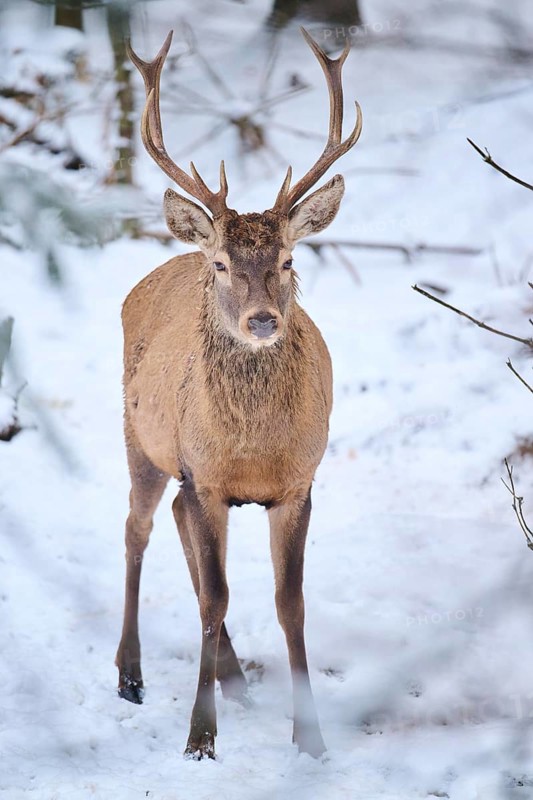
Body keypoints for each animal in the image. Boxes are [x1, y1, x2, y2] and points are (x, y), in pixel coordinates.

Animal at [116, 27, 362, 760]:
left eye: (288, 260)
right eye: (224, 265)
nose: (262, 320)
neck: (251, 452)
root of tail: (172, 257)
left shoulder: (298, 483)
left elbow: (289, 602)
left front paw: (309, 738)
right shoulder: (207, 475)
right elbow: (214, 597)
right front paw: (199, 740)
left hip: (180, 468)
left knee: (170, 520)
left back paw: (233, 679)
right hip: (141, 440)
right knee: (137, 528)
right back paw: (130, 675)